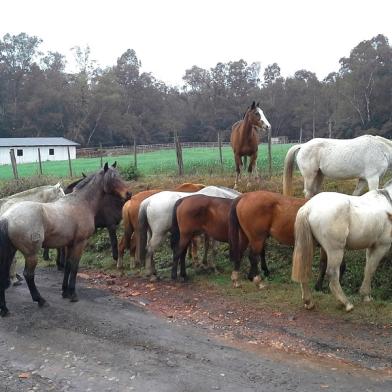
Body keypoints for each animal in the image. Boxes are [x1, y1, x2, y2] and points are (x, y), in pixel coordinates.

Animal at [290, 181, 392, 312]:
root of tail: (308, 208)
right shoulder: (381, 246)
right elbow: (371, 269)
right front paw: (366, 295)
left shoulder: (371, 247)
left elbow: (368, 268)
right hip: (335, 250)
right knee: (332, 274)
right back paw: (346, 303)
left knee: (304, 269)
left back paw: (309, 302)